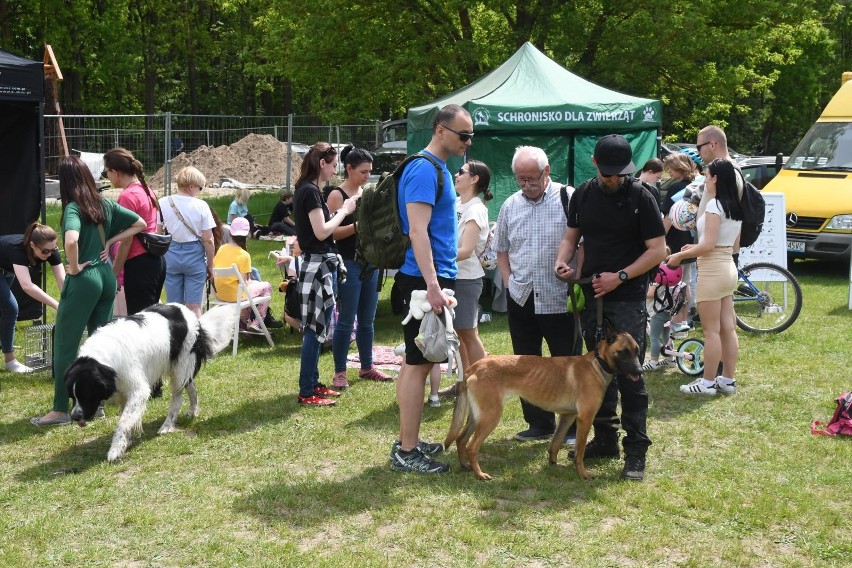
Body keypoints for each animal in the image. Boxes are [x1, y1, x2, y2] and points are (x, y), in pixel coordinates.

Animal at [65, 302, 236, 462]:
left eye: (86, 395)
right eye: (72, 397)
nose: (74, 417)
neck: (103, 358)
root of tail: (189, 314)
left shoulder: (138, 390)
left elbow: (123, 421)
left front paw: (116, 450)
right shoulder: (122, 390)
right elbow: (126, 416)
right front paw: (128, 439)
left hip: (180, 366)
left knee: (177, 398)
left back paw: (167, 425)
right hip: (181, 368)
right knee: (191, 385)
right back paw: (193, 411)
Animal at [446, 322, 640, 478]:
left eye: (637, 351)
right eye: (623, 352)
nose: (639, 371)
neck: (598, 364)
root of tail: (474, 366)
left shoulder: (567, 417)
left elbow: (556, 443)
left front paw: (553, 464)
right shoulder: (585, 419)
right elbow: (580, 451)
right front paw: (583, 473)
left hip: (477, 417)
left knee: (461, 440)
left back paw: (465, 466)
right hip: (490, 417)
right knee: (471, 447)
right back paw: (480, 474)